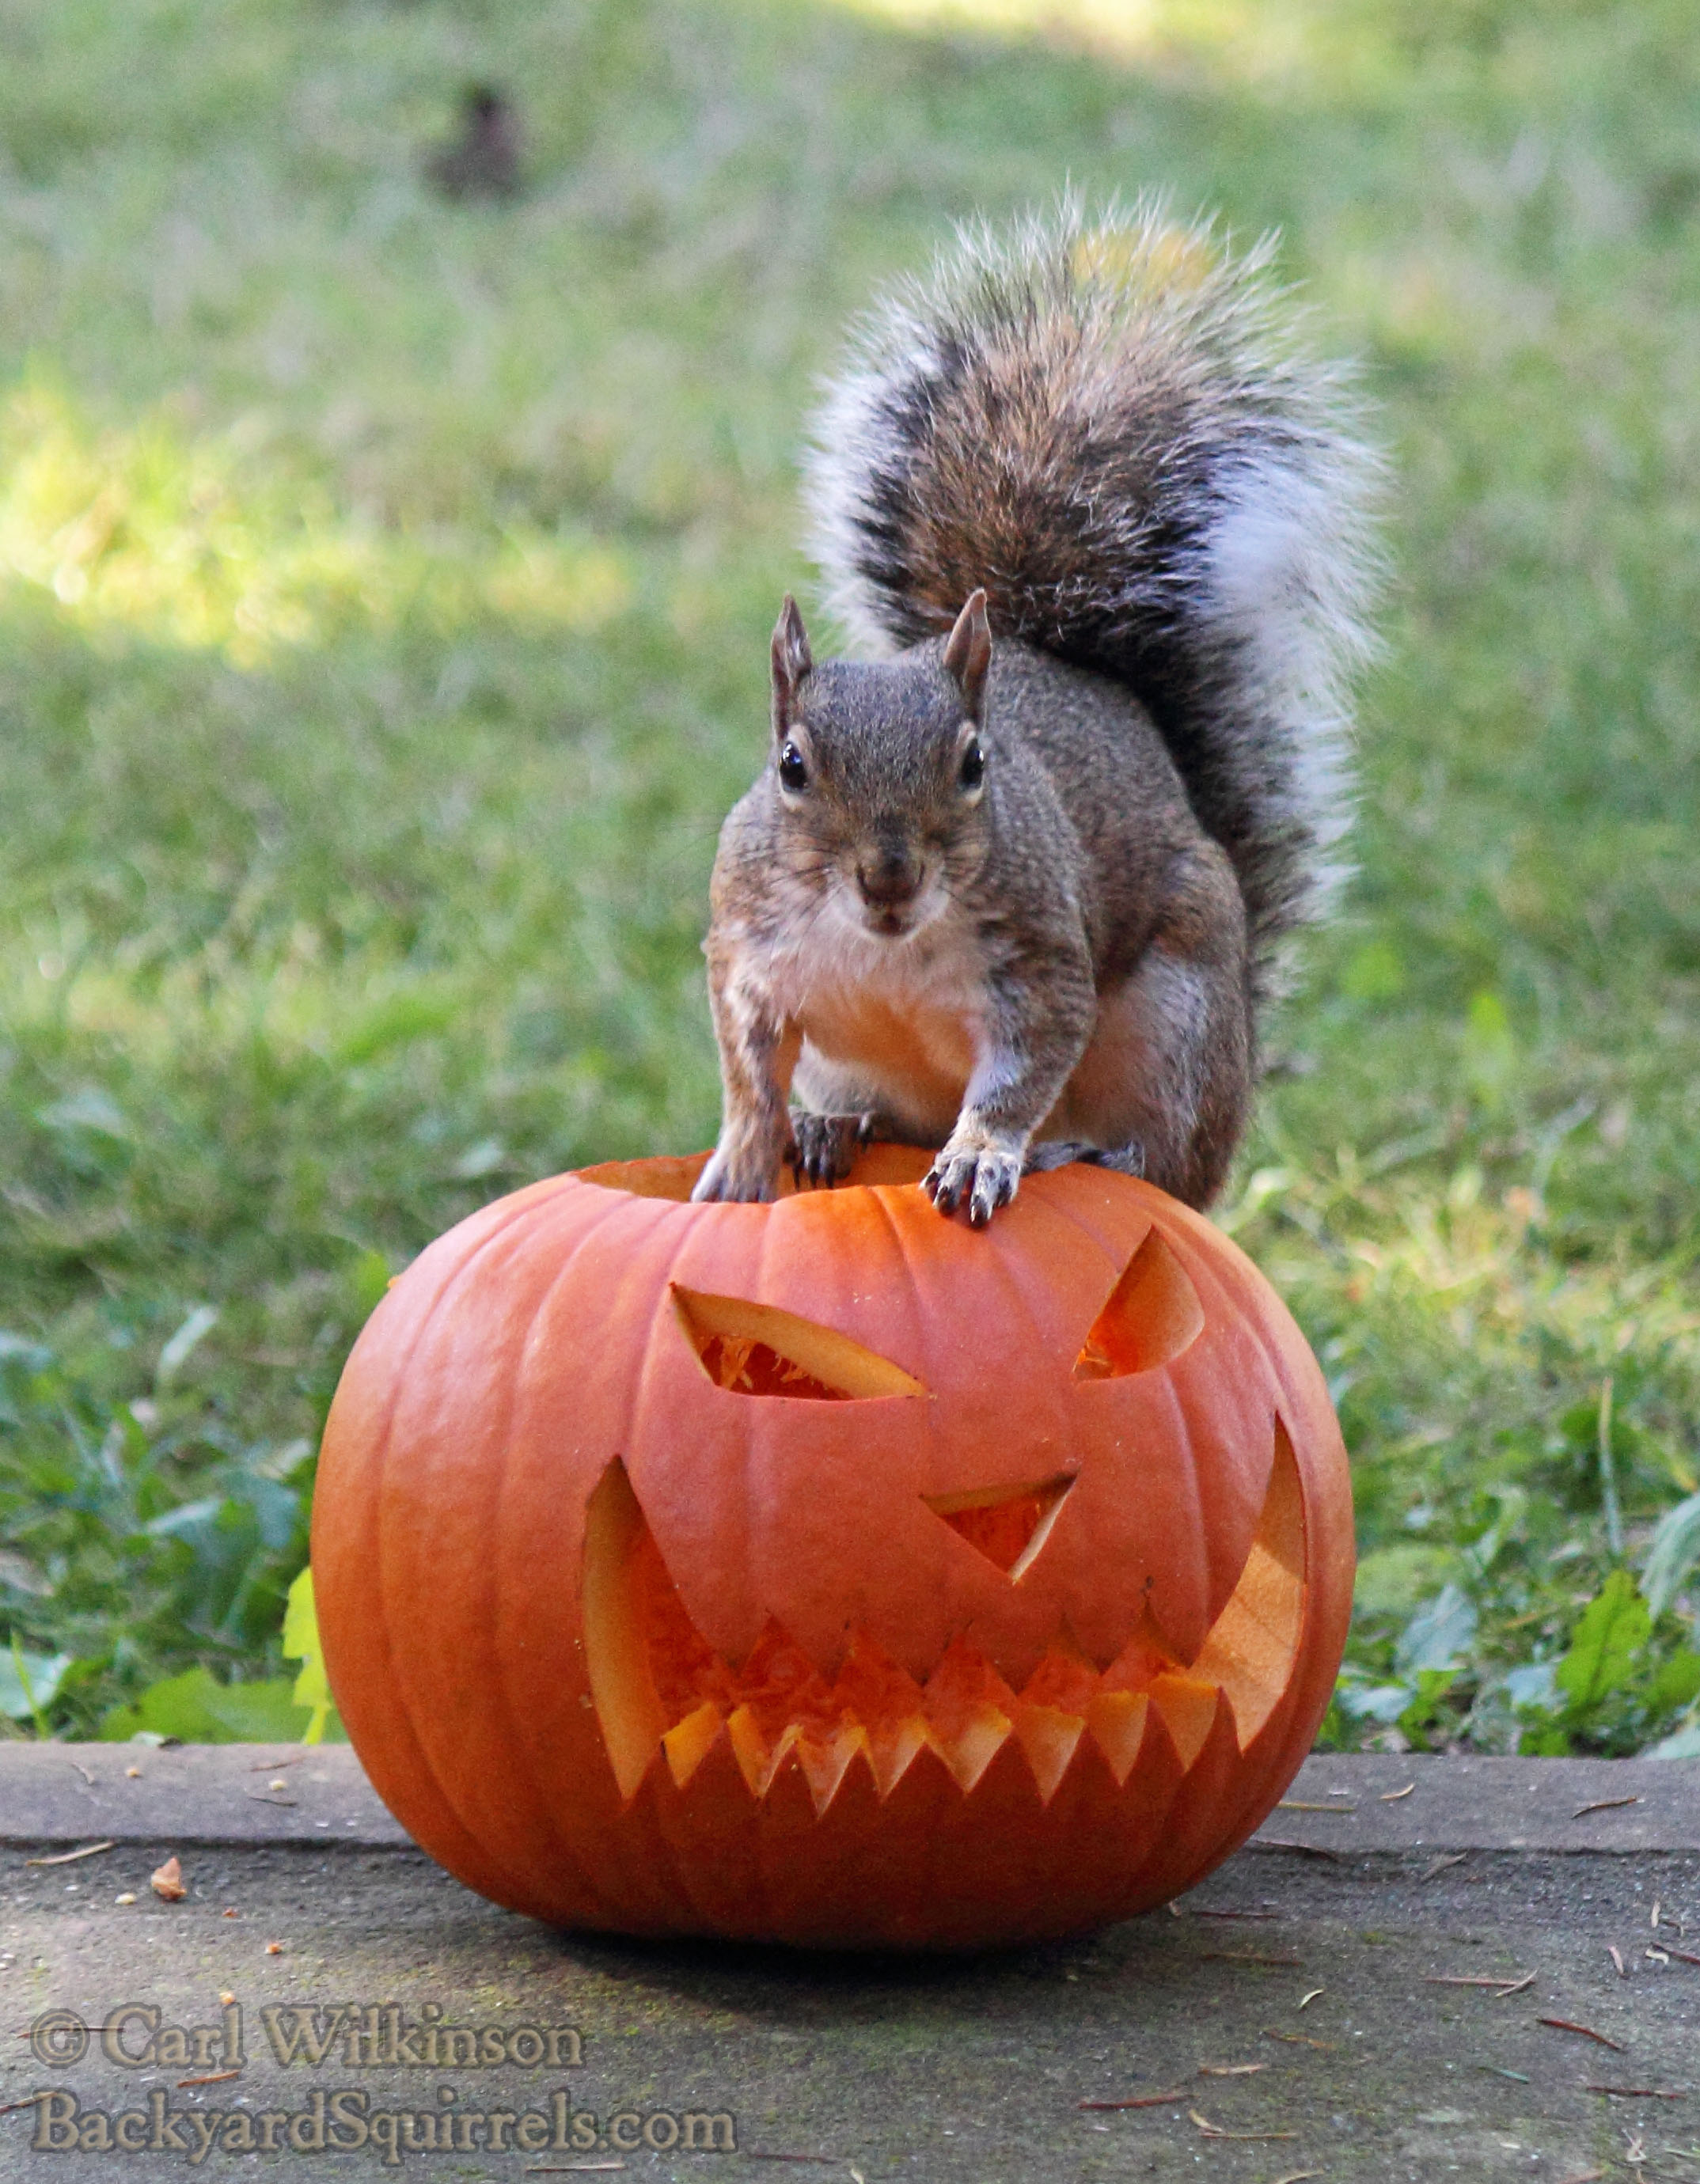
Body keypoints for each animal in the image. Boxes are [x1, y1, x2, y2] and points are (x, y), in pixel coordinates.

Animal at [693, 202, 1381, 1225]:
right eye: (791, 765)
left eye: (976, 764)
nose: (890, 877)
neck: (883, 945)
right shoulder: (746, 954)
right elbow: (747, 1070)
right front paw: (746, 1153)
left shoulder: (1042, 959)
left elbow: (1022, 1072)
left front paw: (983, 1152)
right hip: (854, 1069)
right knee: (884, 1119)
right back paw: (828, 1127)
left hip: (1182, 1021)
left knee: (1171, 1167)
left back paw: (1088, 1153)